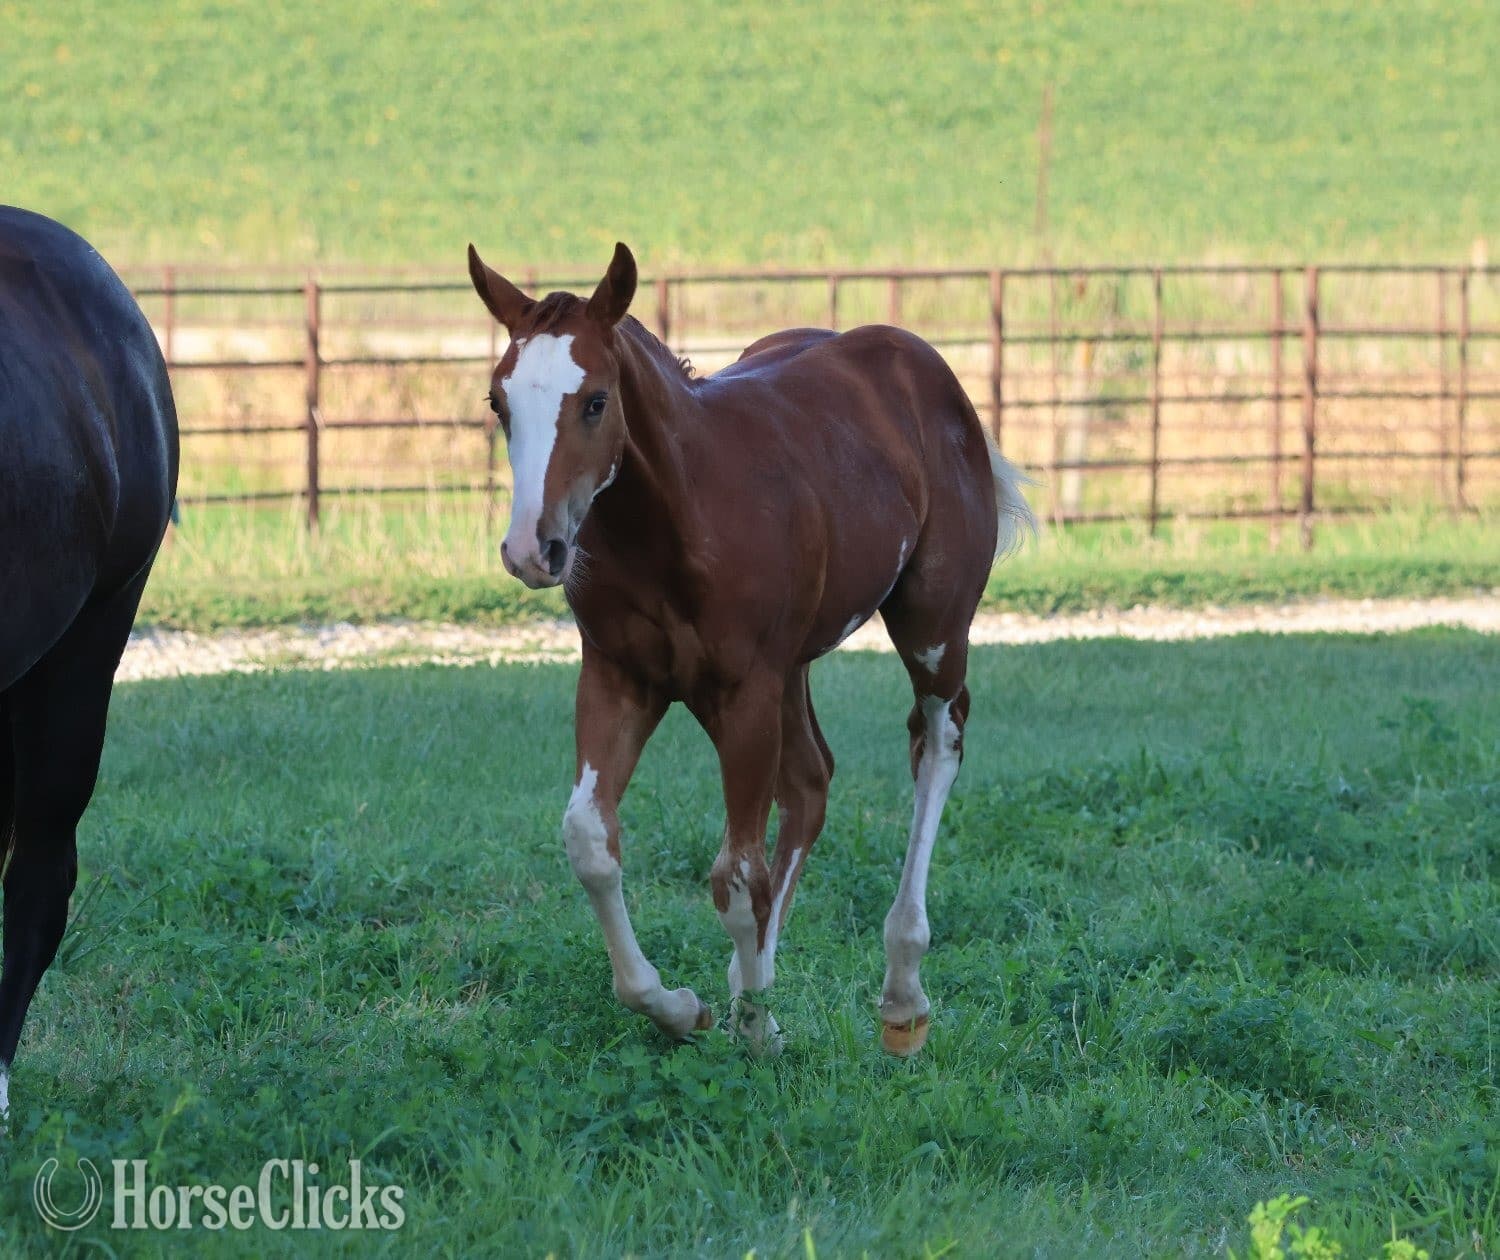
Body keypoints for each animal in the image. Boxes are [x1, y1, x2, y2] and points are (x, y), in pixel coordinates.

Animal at [468, 241, 1031, 1055]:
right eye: (498, 403)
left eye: (596, 401)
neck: (679, 519)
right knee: (810, 782)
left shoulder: (745, 692)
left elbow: (736, 875)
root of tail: (927, 371)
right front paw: (685, 1007)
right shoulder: (620, 678)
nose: (531, 550)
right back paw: (751, 980)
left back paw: (901, 991)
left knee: (937, 739)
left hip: (931, 628)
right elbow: (591, 841)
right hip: (788, 671)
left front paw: (758, 1030)